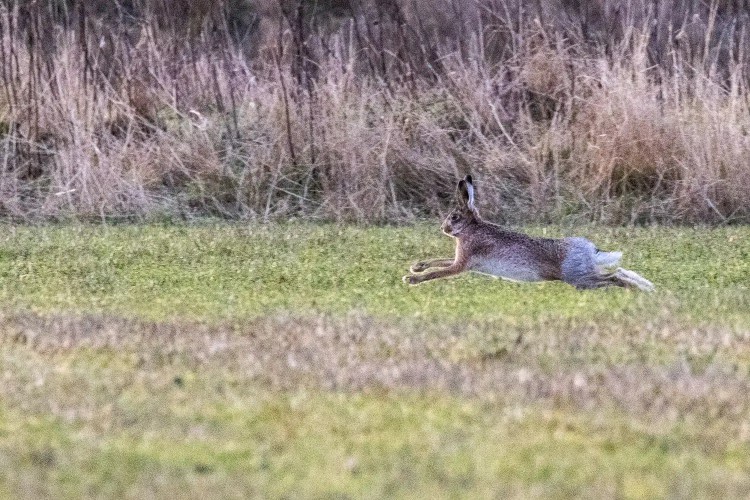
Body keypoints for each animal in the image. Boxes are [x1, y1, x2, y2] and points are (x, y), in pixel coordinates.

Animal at [403, 175, 654, 291]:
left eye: (454, 217)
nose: (443, 229)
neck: (471, 227)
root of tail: (591, 250)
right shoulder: (461, 258)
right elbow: (439, 261)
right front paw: (417, 266)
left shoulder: (462, 263)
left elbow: (440, 272)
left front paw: (412, 279)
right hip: (585, 273)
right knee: (618, 271)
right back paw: (647, 288)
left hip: (578, 278)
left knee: (614, 277)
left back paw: (638, 291)